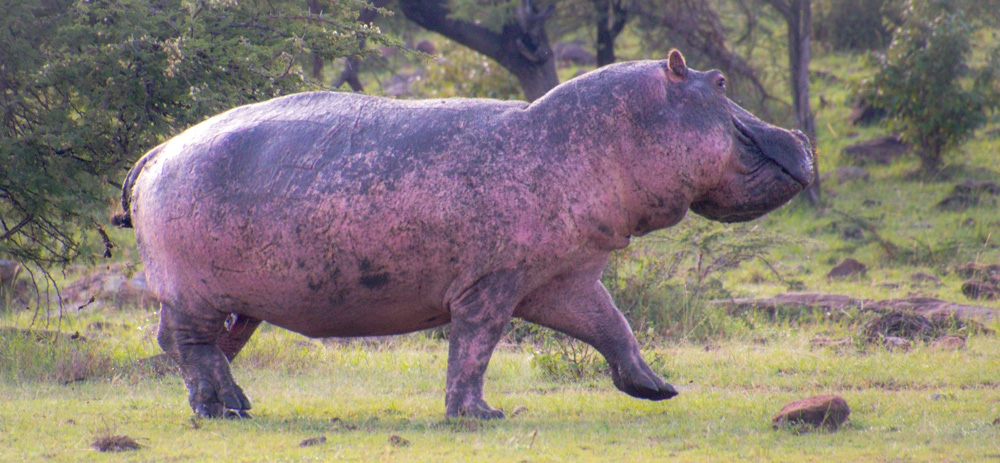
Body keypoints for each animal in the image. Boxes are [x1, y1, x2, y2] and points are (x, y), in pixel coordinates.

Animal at [113, 50, 812, 419]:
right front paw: (479, 416)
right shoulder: (493, 282)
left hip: (238, 300)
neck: (594, 138)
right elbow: (476, 344)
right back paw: (226, 408)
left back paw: (229, 406)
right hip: (194, 292)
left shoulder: (563, 276)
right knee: (187, 342)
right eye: (719, 84)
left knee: (202, 347)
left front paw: (657, 389)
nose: (802, 136)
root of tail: (160, 150)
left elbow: (614, 326)